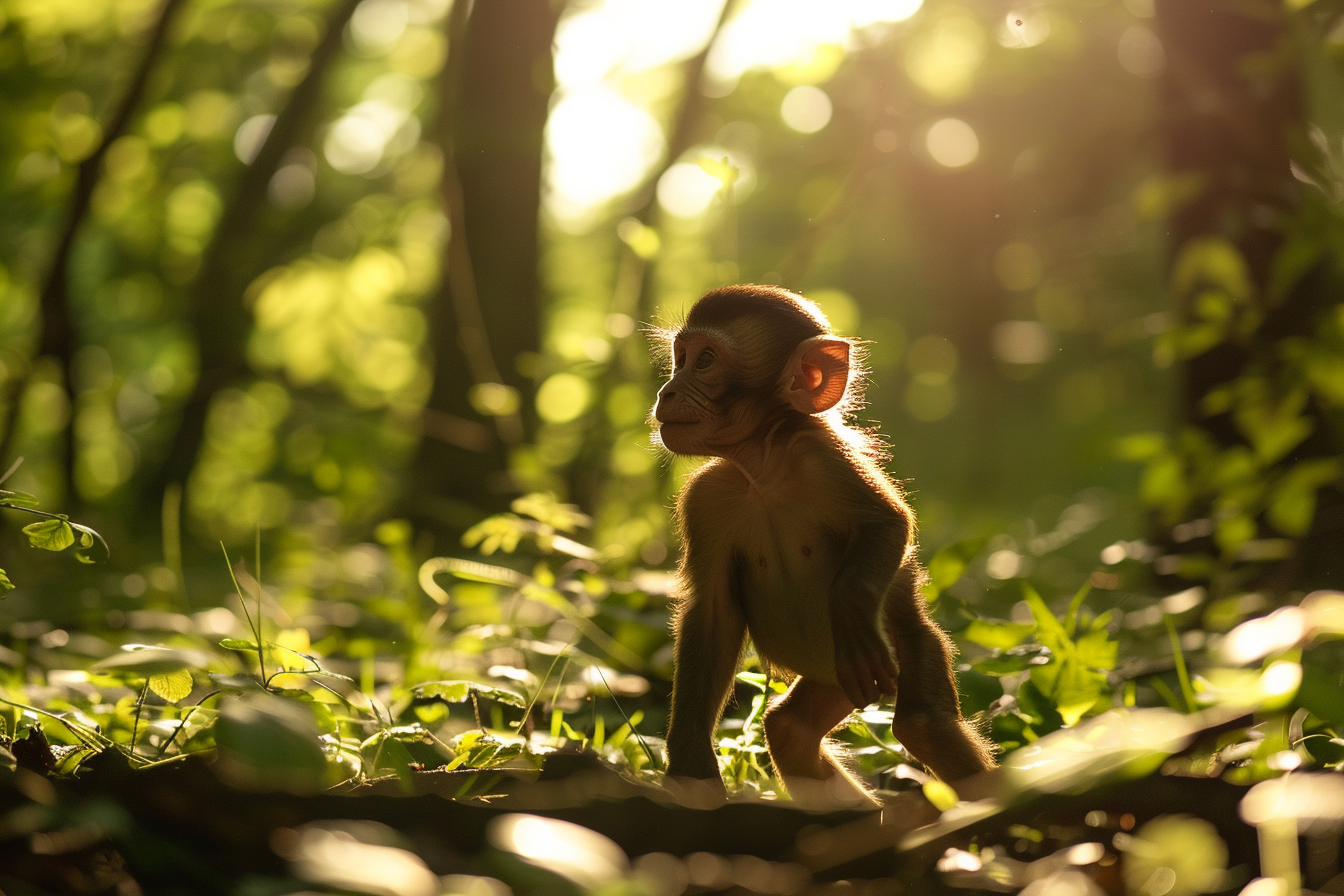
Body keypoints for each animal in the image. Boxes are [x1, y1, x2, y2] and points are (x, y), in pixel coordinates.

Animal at [652, 284, 996, 807]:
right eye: (681, 358)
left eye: (706, 361)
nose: (666, 392)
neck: (764, 470)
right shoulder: (705, 501)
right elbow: (712, 613)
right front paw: (690, 762)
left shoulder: (823, 459)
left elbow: (888, 525)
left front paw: (851, 609)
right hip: (831, 681)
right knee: (790, 729)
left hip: (907, 646)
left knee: (922, 724)